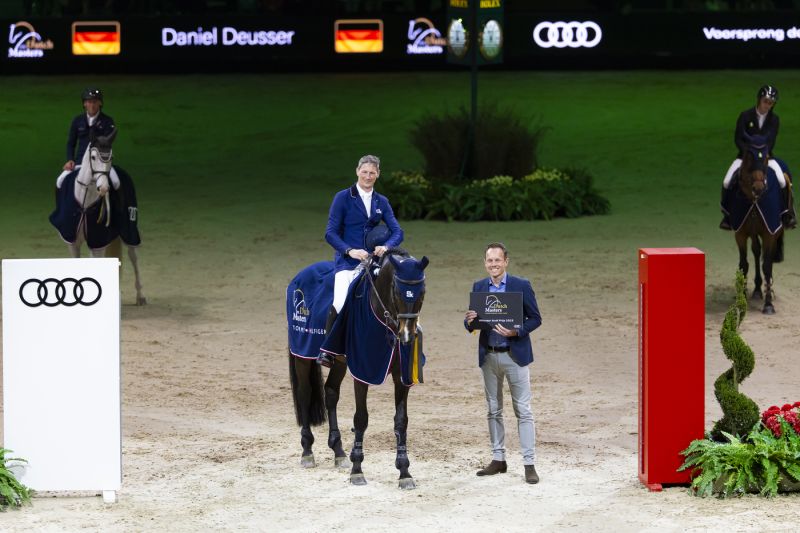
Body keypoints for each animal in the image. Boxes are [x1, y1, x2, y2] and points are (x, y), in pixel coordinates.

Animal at [736, 142, 784, 316]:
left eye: (764, 161)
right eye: (749, 159)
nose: (758, 188)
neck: (754, 200)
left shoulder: (770, 233)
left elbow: (767, 266)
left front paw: (768, 305)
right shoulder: (740, 234)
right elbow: (743, 264)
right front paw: (741, 300)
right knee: (756, 252)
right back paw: (757, 289)